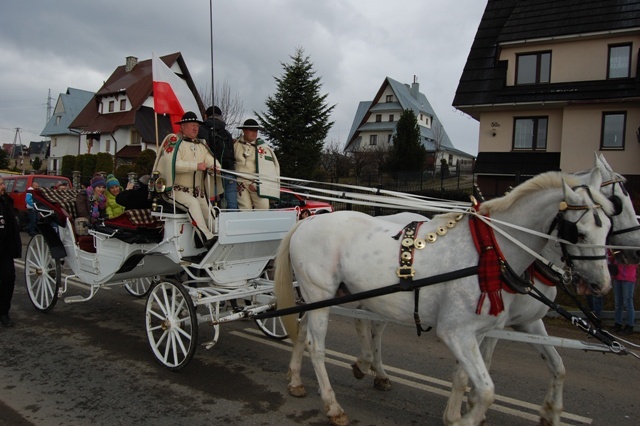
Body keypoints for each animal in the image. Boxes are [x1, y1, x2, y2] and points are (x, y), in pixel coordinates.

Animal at [276, 171, 616, 426]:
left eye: (609, 228)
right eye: (579, 233)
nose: (600, 285)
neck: (490, 250)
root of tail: (308, 220)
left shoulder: (483, 330)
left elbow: (469, 377)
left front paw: (457, 414)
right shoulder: (456, 331)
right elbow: (487, 390)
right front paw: (465, 419)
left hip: (326, 296)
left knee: (305, 331)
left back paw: (297, 380)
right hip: (320, 292)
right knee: (317, 346)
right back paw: (333, 405)